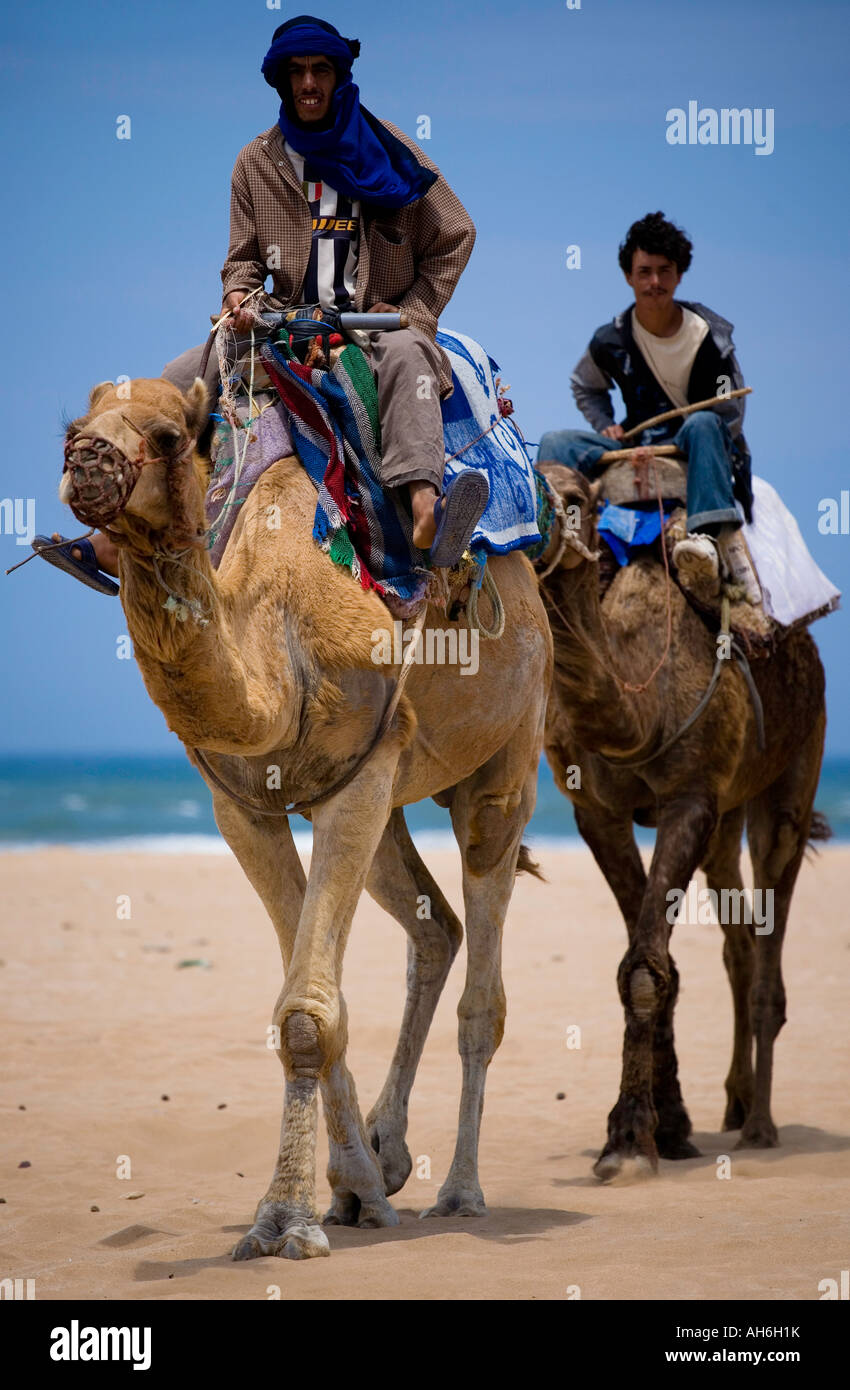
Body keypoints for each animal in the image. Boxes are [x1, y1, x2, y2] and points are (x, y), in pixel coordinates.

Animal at [60, 375, 552, 1259]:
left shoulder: (358, 779)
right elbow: (323, 1004)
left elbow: (305, 1015)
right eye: (74, 425)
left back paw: (461, 1192)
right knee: (437, 928)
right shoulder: (245, 803)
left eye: (167, 437)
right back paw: (390, 1157)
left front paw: (287, 1218)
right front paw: (351, 1187)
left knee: (484, 989)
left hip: (508, 757)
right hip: (392, 794)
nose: (85, 459)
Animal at [533, 460, 827, 1180]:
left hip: (796, 767)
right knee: (738, 940)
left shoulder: (691, 798)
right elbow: (648, 961)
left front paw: (628, 1144)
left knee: (770, 931)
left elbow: (645, 965)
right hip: (726, 821)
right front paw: (667, 1127)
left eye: (576, 500)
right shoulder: (597, 812)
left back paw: (760, 1125)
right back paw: (734, 1104)